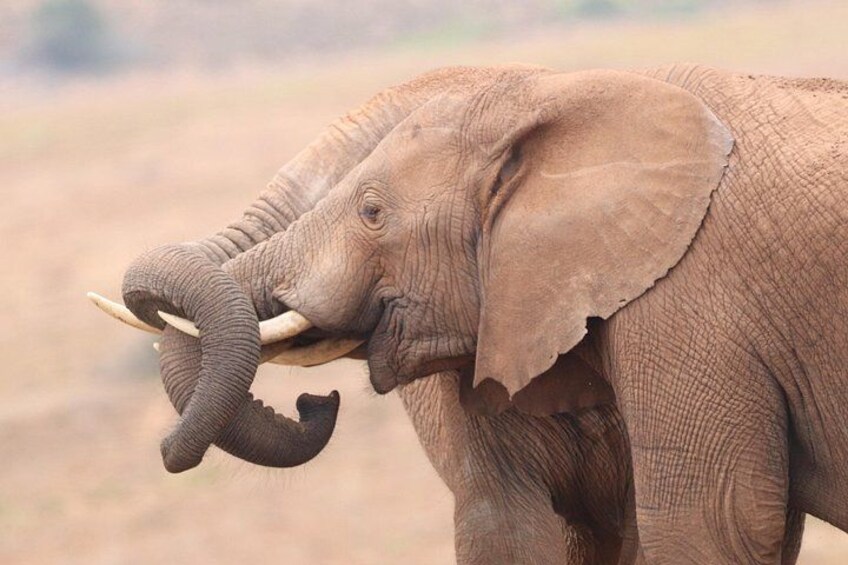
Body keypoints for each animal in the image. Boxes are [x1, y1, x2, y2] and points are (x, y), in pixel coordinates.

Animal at [146, 64, 847, 563]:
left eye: (370, 210)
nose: (315, 403)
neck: (549, 91)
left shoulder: (686, 305)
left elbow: (714, 526)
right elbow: (506, 528)